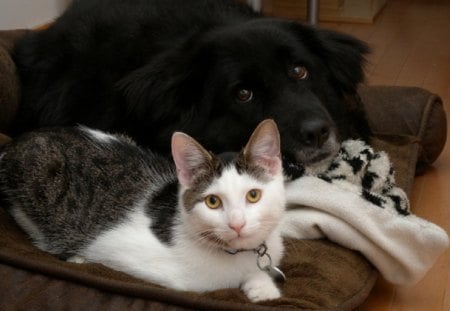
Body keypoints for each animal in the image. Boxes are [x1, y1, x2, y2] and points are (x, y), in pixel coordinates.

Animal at [0, 119, 284, 302]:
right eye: (212, 201)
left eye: (253, 195)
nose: (237, 224)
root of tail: (15, 143)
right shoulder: (127, 254)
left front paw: (262, 286)